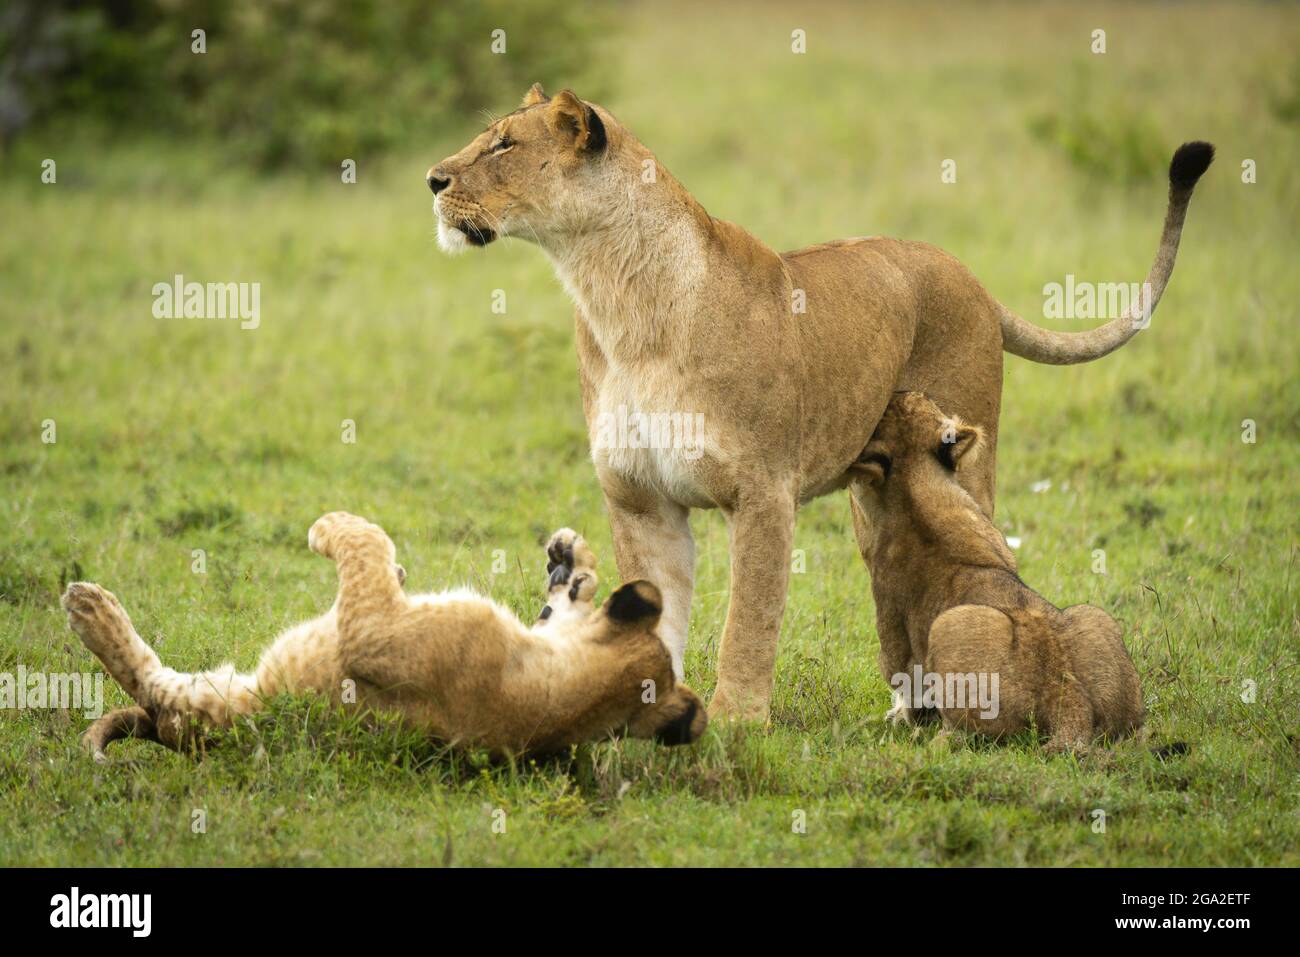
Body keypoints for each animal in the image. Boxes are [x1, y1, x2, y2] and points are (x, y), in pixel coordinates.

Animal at [62, 512, 707, 761]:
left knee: (152, 684)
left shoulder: (373, 634)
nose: (560, 561)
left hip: (216, 700)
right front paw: (575, 563)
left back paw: (90, 606)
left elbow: (364, 542)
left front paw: (329, 527)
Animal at [848, 392, 1144, 751]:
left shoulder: (891, 623)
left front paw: (901, 717)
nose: (902, 392)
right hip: (1094, 619)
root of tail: (1069, 702)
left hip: (949, 624)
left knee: (962, 733)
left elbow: (900, 675)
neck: (915, 482)